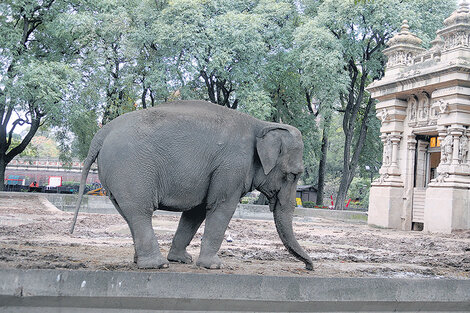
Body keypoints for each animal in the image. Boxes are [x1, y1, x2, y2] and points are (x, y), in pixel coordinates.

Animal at [70, 100, 312, 270]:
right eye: (294, 175)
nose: (309, 266)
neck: (264, 124)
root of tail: (102, 132)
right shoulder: (232, 165)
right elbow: (221, 207)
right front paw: (213, 266)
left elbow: (196, 212)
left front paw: (182, 260)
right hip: (131, 168)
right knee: (140, 211)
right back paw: (157, 265)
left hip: (117, 175)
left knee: (128, 212)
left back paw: (142, 261)